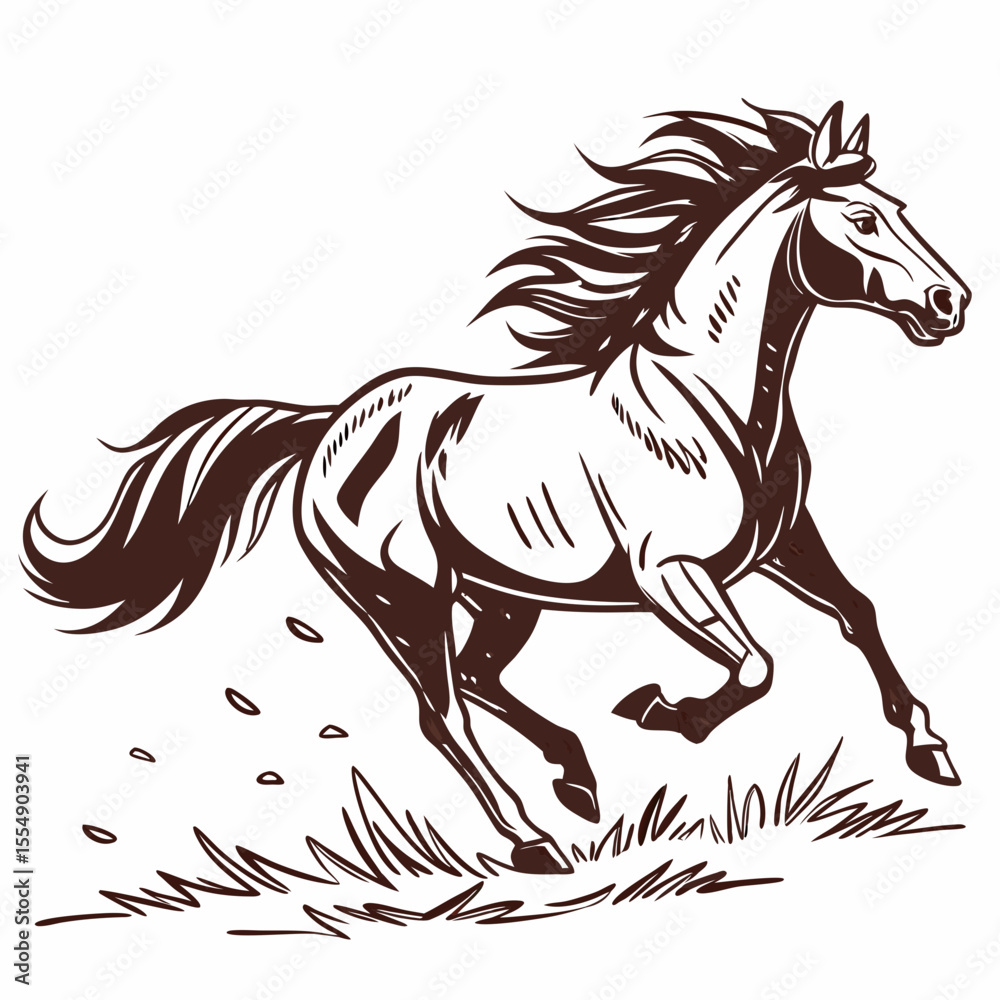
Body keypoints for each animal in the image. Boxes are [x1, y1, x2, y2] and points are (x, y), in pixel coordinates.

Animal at [23, 101, 970, 875]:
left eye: (901, 210)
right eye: (863, 218)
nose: (949, 302)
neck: (712, 402)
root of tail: (329, 427)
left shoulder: (784, 544)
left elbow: (858, 614)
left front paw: (931, 749)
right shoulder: (669, 573)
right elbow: (756, 666)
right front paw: (666, 712)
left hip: (504, 596)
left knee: (479, 680)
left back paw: (577, 782)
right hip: (404, 596)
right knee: (445, 715)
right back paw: (536, 841)